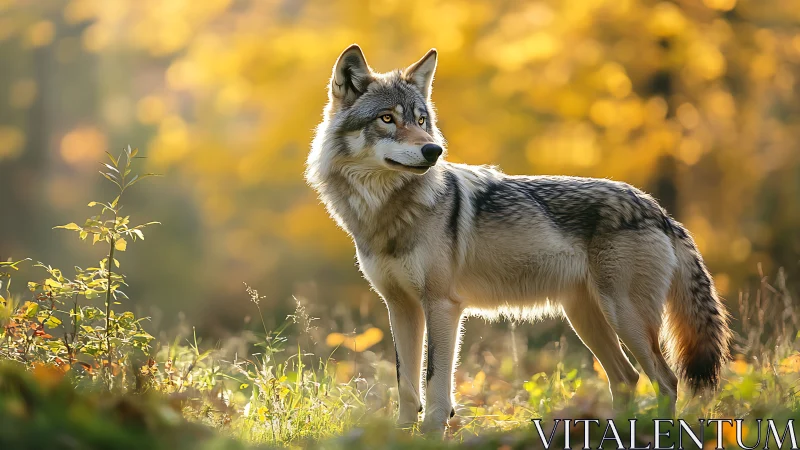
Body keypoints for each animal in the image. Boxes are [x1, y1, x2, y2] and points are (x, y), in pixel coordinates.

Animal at [306, 44, 731, 433]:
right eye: (387, 118)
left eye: (422, 120)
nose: (433, 149)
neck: (386, 212)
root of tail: (659, 211)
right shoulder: (400, 307)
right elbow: (407, 387)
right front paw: (402, 436)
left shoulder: (442, 305)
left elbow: (435, 386)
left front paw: (430, 435)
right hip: (586, 318)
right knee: (626, 379)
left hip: (624, 317)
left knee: (665, 380)